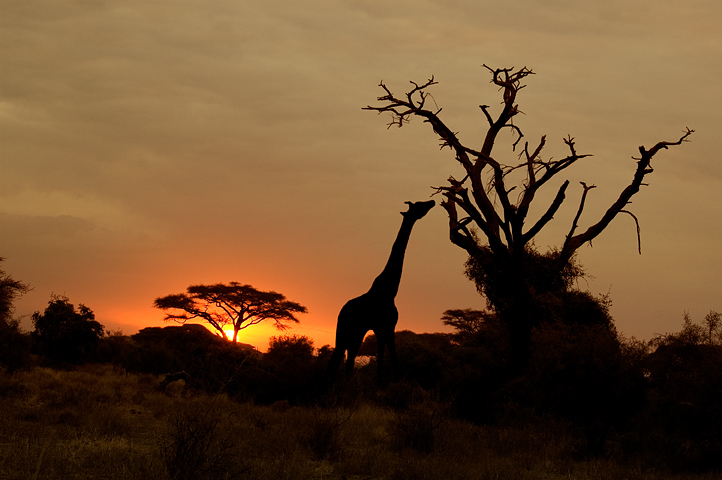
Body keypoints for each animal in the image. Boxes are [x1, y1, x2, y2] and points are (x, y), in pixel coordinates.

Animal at [327, 199, 435, 384]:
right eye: (419, 205)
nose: (432, 201)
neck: (390, 290)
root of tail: (341, 312)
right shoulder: (384, 326)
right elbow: (388, 360)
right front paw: (387, 385)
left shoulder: (385, 327)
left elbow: (387, 359)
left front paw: (384, 384)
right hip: (346, 331)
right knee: (337, 360)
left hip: (355, 334)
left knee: (347, 361)